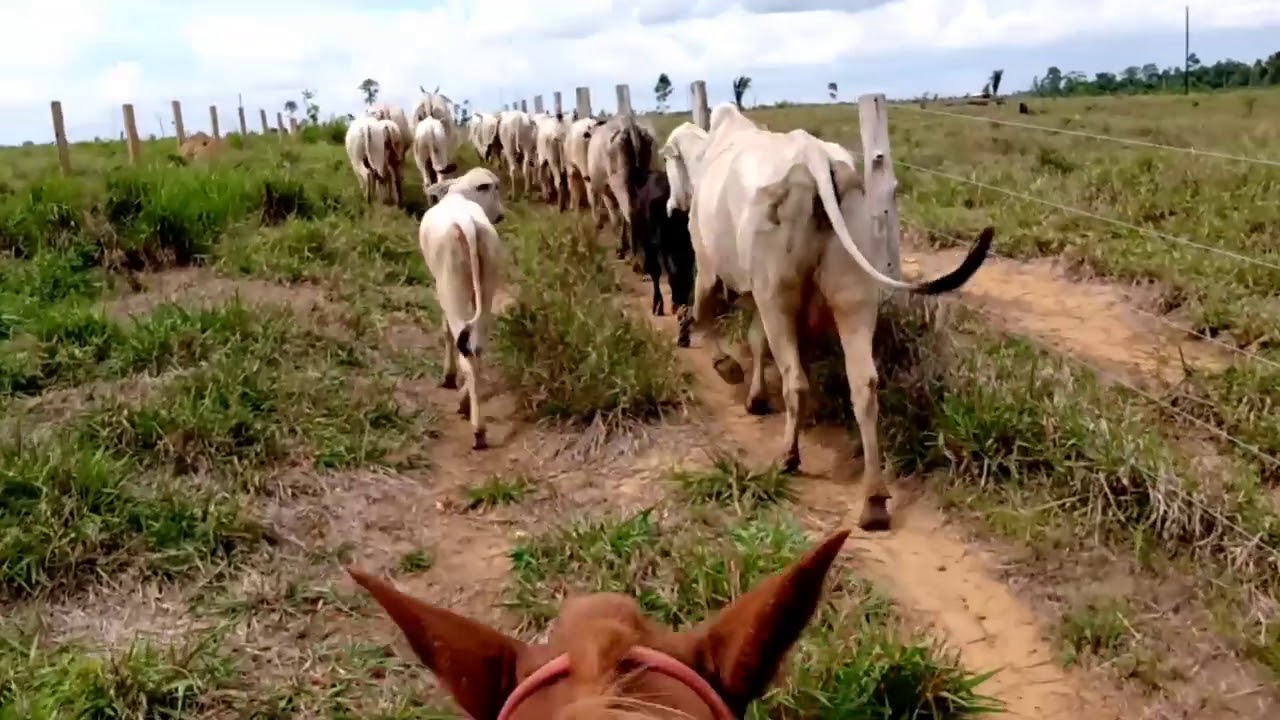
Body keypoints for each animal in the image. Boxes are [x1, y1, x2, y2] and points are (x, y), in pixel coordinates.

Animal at [417, 167, 507, 450]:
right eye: (491, 188)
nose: (500, 215)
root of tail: (467, 224)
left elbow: (446, 332)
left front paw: (448, 377)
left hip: (451, 291)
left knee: (465, 350)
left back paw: (477, 429)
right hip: (486, 293)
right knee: (475, 348)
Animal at [585, 113, 657, 269]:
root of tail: (628, 125)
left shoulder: (606, 191)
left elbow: (615, 216)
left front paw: (621, 246)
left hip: (619, 182)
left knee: (629, 211)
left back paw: (636, 258)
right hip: (641, 179)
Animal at [679, 102, 993, 531]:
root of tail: (812, 155)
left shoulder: (712, 266)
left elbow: (708, 316)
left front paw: (727, 369)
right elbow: (758, 341)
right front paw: (755, 394)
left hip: (777, 293)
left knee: (795, 379)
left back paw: (789, 457)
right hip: (853, 295)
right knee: (864, 384)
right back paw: (873, 500)